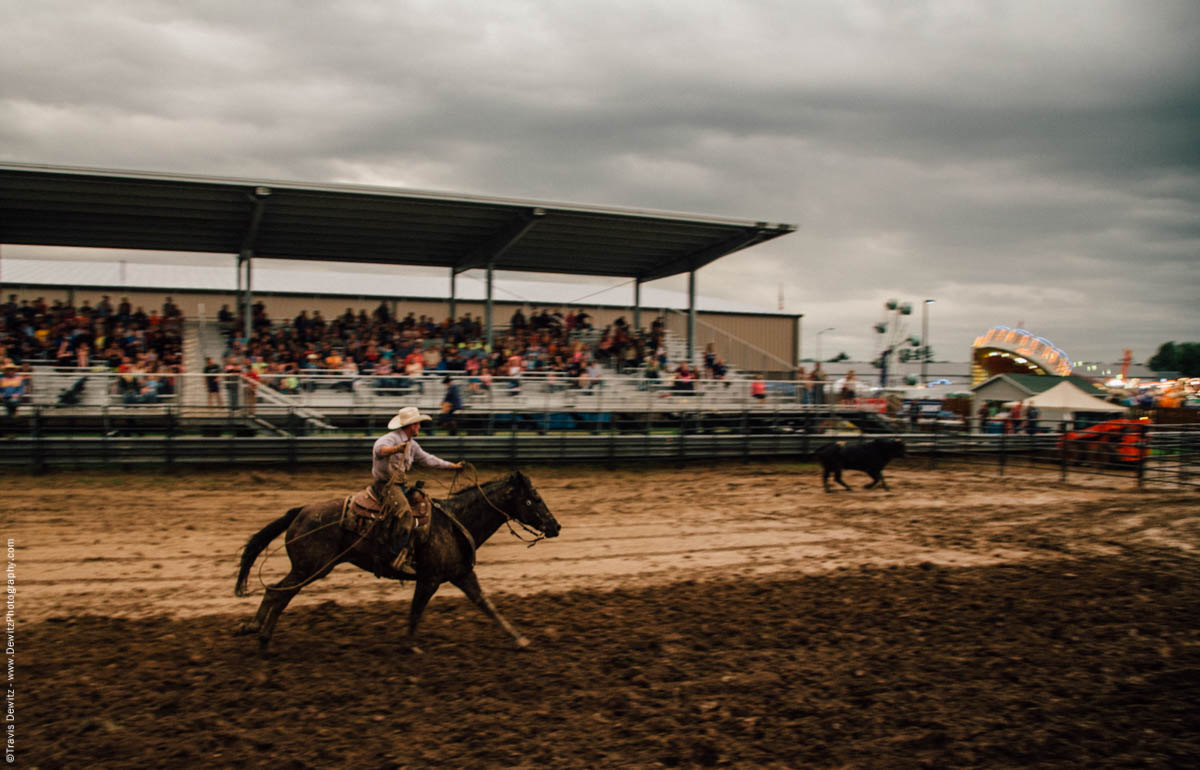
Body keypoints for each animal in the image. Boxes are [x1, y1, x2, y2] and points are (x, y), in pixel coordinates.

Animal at [234, 467, 561, 652]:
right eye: (534, 498)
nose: (556, 526)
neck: (455, 520)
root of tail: (300, 510)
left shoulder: (462, 574)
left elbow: (488, 606)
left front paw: (519, 639)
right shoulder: (429, 579)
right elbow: (416, 611)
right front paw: (409, 647)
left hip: (309, 568)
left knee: (279, 593)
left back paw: (258, 631)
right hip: (310, 567)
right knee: (278, 591)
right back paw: (260, 634)